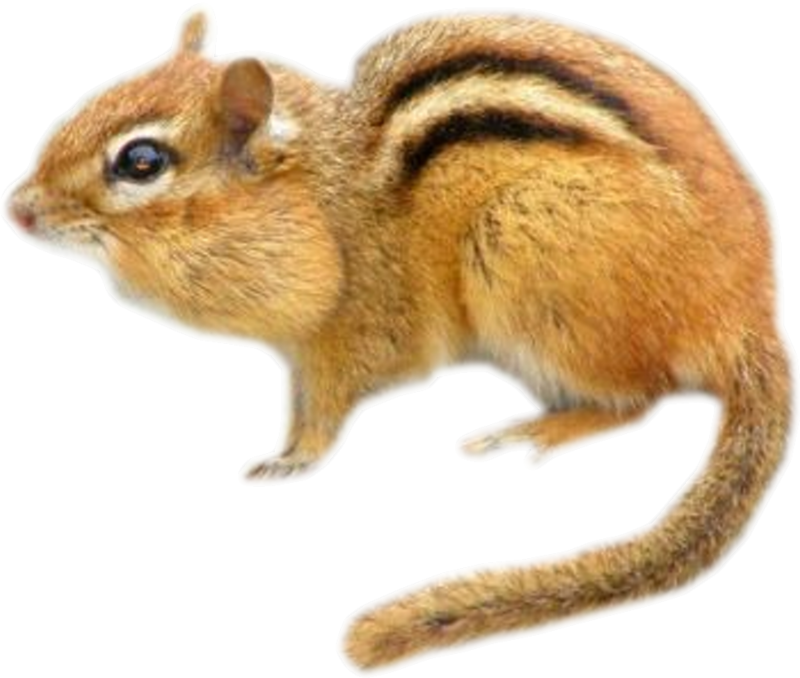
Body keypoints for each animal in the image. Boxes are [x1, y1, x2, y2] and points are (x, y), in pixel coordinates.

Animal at [2, 3, 797, 675]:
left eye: (141, 162)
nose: (12, 207)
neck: (320, 202)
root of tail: (753, 313)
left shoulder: (355, 337)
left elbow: (328, 419)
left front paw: (291, 463)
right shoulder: (299, 358)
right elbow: (295, 409)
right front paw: (278, 450)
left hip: (525, 249)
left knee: (639, 400)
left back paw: (527, 430)